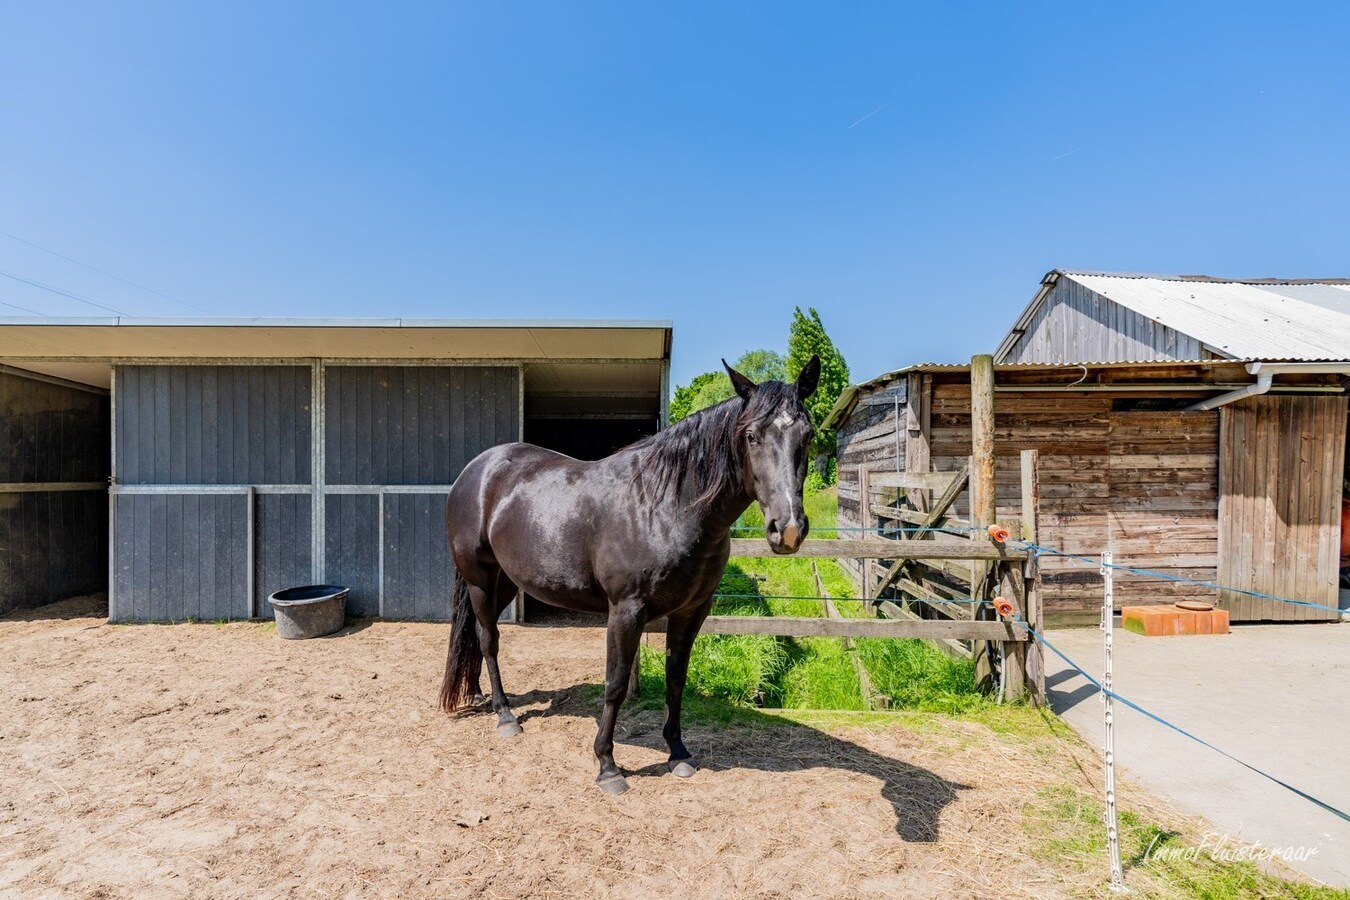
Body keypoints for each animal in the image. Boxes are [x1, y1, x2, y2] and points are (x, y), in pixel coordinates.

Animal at [442, 356, 820, 793]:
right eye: (752, 436)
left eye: (808, 434)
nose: (787, 528)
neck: (664, 505)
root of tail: (477, 470)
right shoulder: (626, 611)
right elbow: (616, 683)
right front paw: (607, 766)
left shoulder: (692, 611)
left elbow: (676, 679)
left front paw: (678, 753)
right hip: (479, 580)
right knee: (489, 640)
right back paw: (504, 716)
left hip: (504, 583)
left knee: (480, 638)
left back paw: (486, 700)